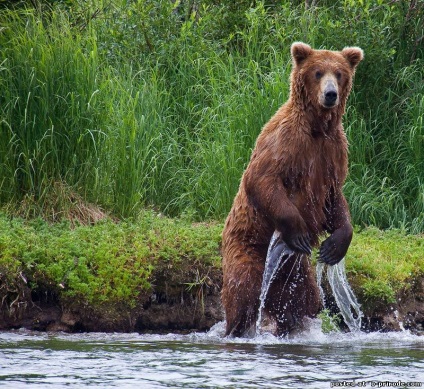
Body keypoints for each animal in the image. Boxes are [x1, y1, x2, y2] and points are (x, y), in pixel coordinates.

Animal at [220, 41, 362, 334]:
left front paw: (334, 246)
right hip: (247, 251)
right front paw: (297, 233)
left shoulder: (333, 153)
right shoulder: (288, 142)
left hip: (297, 274)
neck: (317, 128)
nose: (330, 94)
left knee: (303, 302)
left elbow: (335, 198)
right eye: (318, 72)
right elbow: (262, 179)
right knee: (243, 294)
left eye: (339, 73)